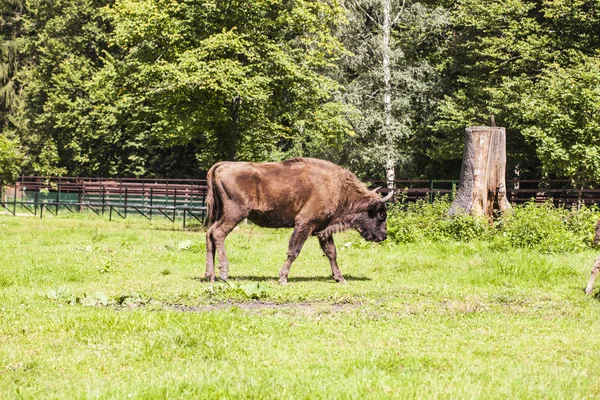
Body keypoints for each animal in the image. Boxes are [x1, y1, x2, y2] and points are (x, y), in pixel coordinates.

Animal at [206, 157, 394, 284]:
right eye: (381, 215)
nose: (383, 236)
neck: (338, 186)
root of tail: (222, 165)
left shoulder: (323, 228)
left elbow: (331, 252)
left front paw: (340, 278)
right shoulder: (305, 223)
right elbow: (294, 250)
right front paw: (283, 278)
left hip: (221, 214)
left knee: (209, 234)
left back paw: (210, 275)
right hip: (235, 214)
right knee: (218, 233)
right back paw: (223, 274)